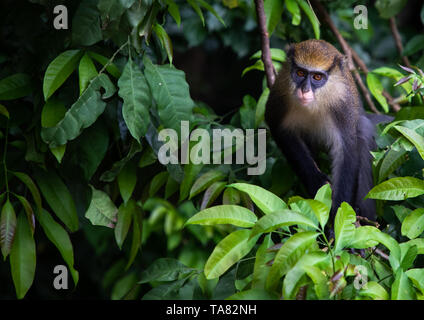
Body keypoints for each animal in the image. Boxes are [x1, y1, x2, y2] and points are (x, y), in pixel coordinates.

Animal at [266, 39, 390, 220]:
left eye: (317, 77)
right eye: (300, 73)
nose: (304, 90)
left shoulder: (343, 105)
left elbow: (347, 150)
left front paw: (337, 215)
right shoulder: (279, 95)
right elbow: (281, 130)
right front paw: (316, 180)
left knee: (363, 132)